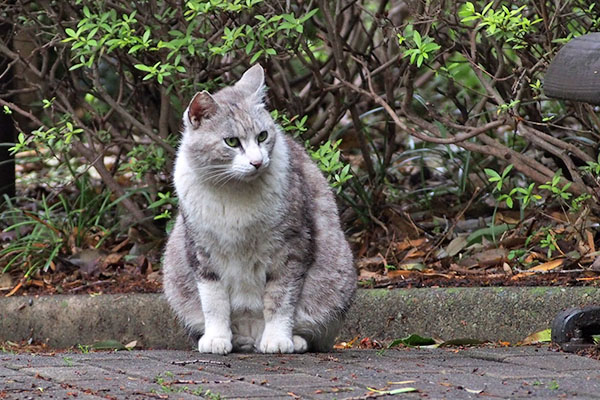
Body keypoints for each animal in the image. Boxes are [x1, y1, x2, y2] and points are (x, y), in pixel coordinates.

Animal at [162, 64, 356, 354]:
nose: (257, 162)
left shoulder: (291, 247)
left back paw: (293, 341)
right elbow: (213, 301)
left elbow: (280, 298)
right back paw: (237, 340)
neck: (234, 192)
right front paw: (217, 338)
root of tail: (252, 335)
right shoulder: (201, 250)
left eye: (262, 136)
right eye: (231, 142)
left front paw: (278, 339)